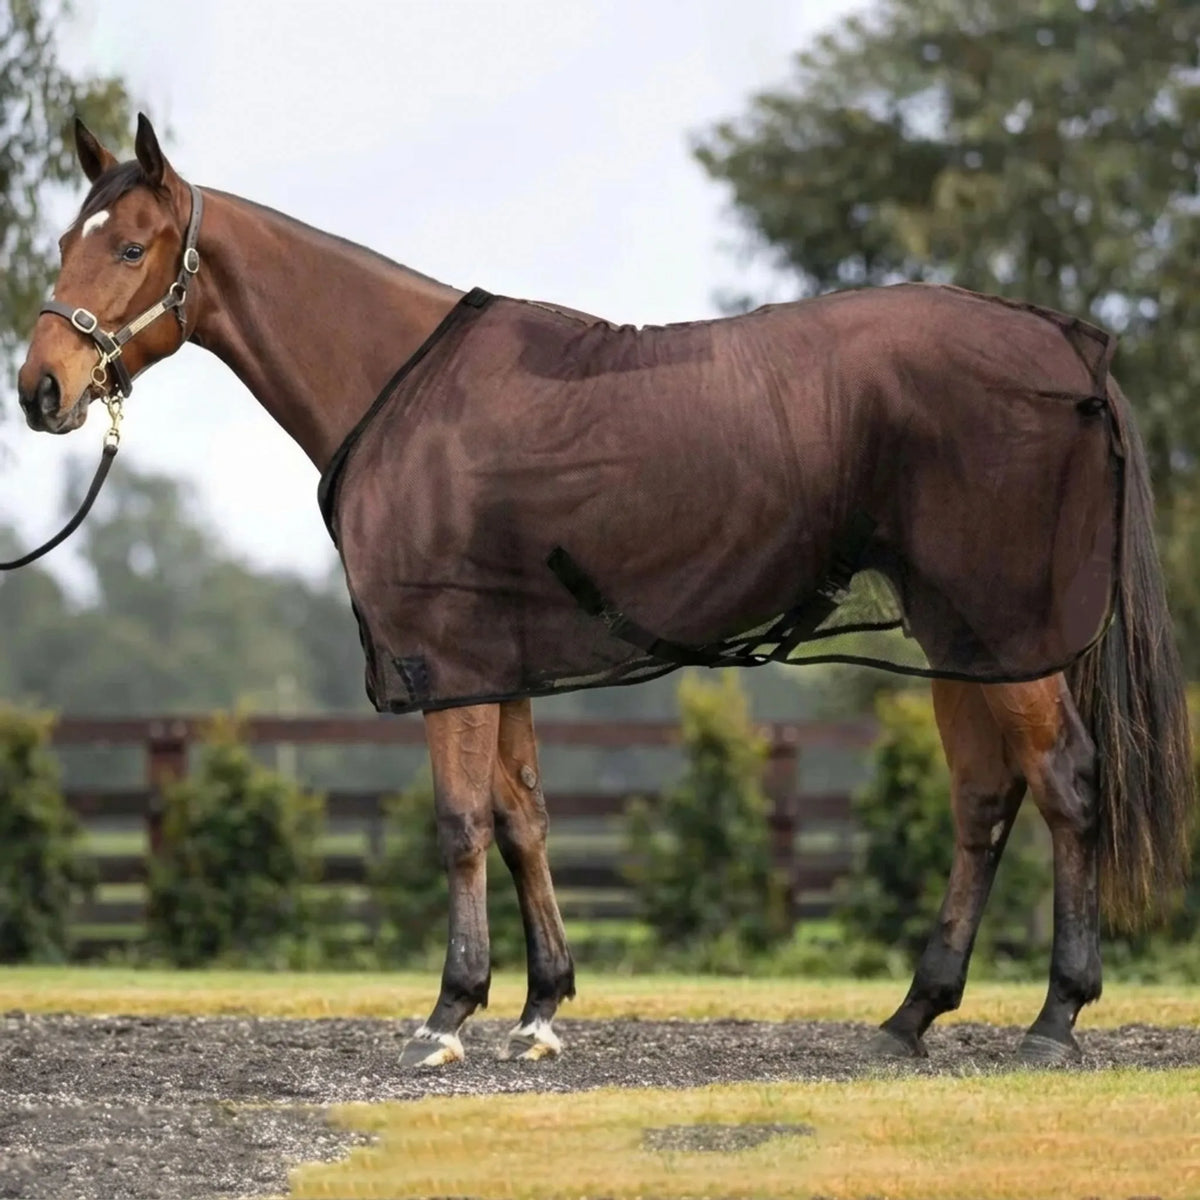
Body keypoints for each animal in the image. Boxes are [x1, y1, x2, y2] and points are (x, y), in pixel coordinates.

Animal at [16, 115, 1193, 1070]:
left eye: (130, 246)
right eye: (67, 240)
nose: (41, 390)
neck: (401, 388)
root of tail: (1070, 346)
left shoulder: (446, 658)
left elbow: (459, 823)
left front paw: (450, 1012)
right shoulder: (502, 663)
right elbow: (524, 816)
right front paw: (541, 1008)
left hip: (1010, 630)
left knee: (1066, 783)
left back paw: (1054, 1018)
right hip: (963, 636)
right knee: (985, 800)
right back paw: (913, 1012)